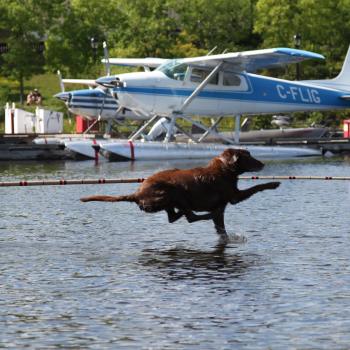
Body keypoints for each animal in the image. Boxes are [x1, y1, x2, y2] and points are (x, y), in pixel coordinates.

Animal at [80, 148, 280, 241]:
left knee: (176, 216)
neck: (224, 169)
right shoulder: (234, 197)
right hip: (172, 191)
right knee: (190, 216)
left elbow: (221, 230)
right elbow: (257, 186)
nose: (262, 164)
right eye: (248, 156)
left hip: (169, 199)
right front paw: (273, 183)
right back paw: (204, 213)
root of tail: (136, 193)